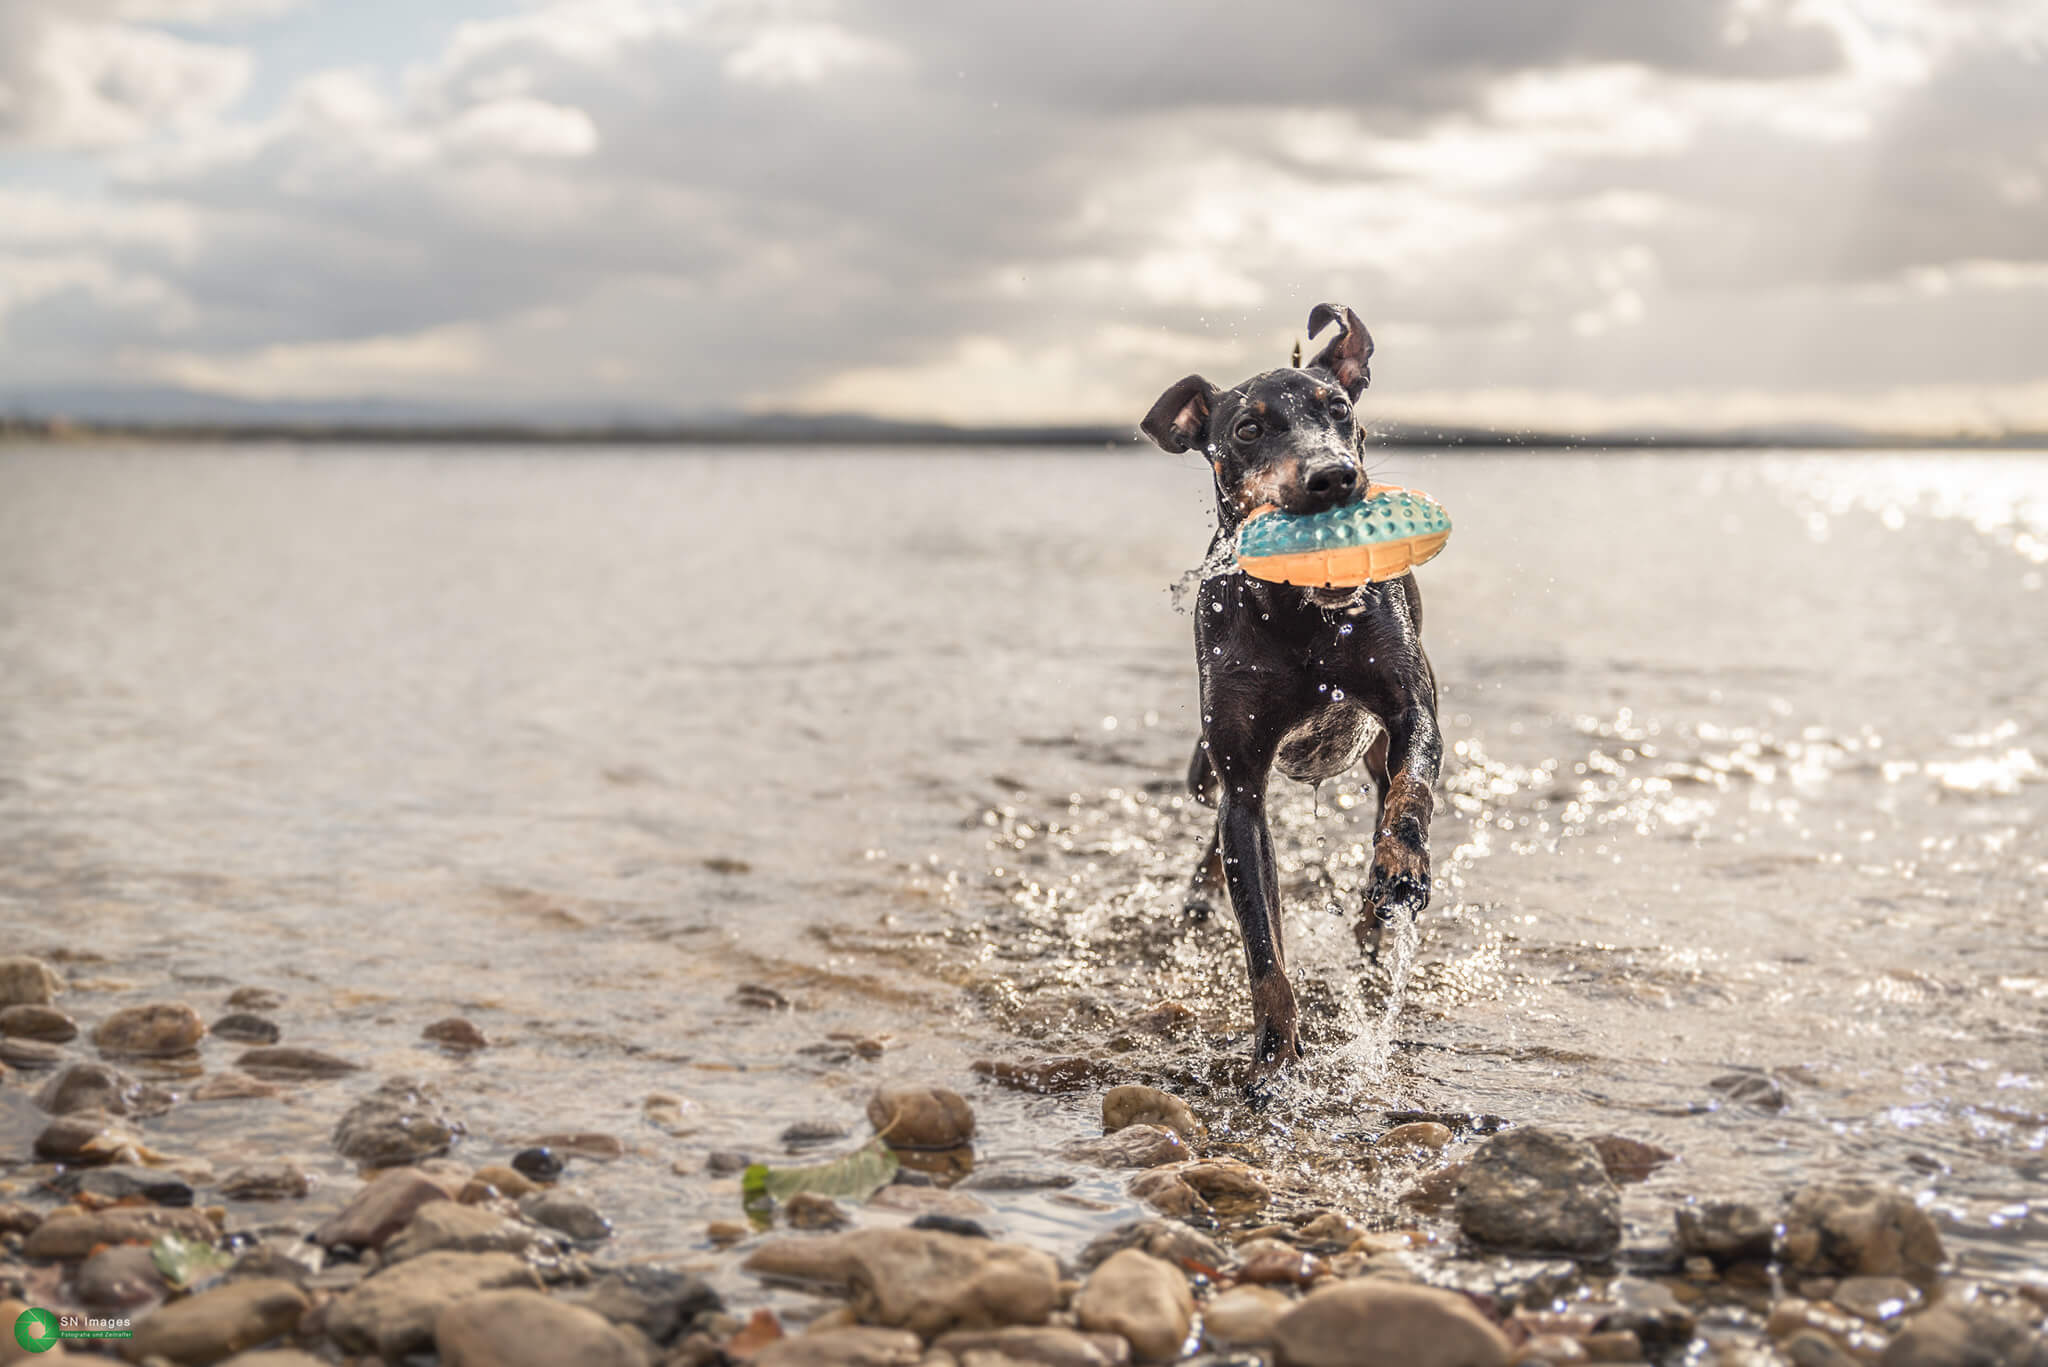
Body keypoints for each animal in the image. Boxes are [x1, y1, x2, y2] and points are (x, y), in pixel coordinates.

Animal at [1138, 301, 1441, 1082]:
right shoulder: (1242, 781)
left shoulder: (1409, 707)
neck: (1304, 615)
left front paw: (1401, 868)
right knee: (1214, 835)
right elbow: (1262, 947)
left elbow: (1413, 785)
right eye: (1248, 429)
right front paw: (1274, 1062)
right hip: (1208, 774)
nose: (1334, 478)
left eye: (1339, 409)